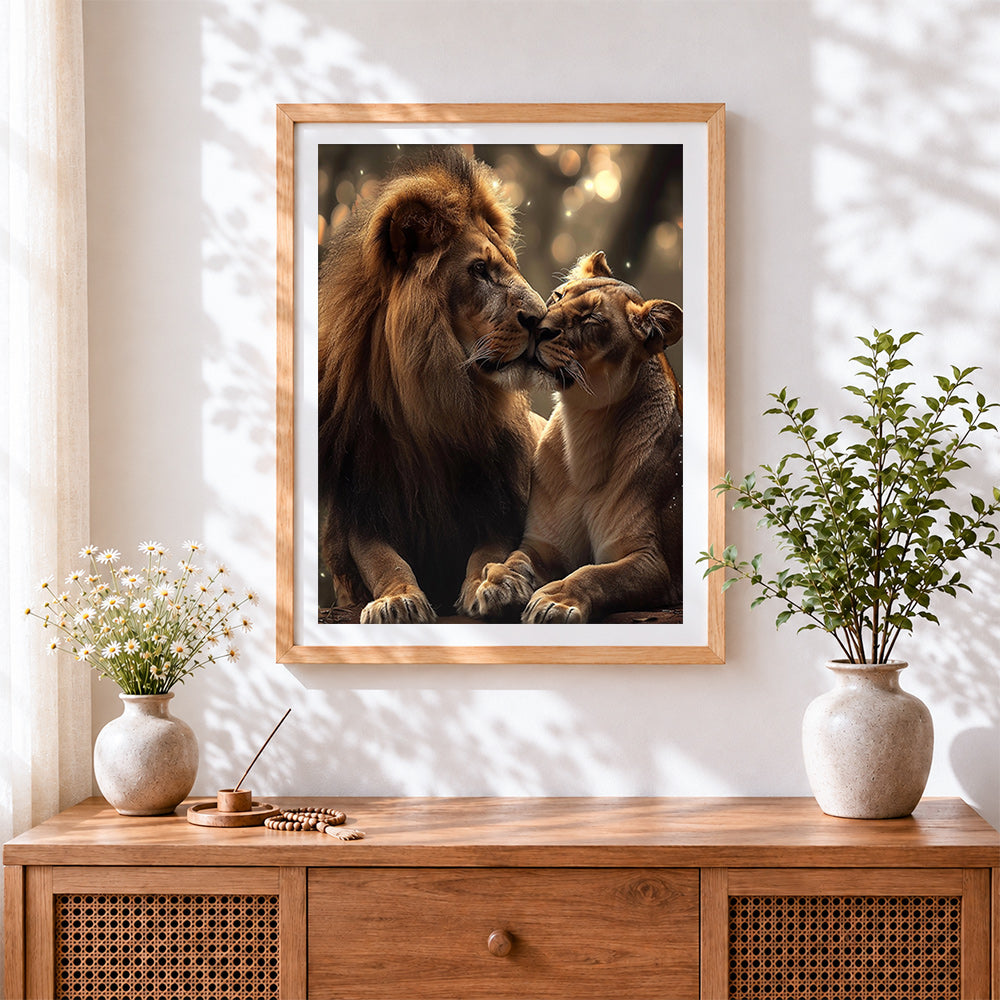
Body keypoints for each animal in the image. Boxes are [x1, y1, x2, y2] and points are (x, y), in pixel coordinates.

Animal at [318, 147, 546, 624]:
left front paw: (495, 585)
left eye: (510, 266)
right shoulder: (359, 510)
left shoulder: (499, 504)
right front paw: (396, 599)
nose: (542, 318)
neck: (430, 406)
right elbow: (383, 560)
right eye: (479, 269)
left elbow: (487, 551)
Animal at [466, 251, 683, 623]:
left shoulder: (652, 561)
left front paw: (555, 600)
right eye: (557, 297)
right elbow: (517, 557)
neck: (583, 427)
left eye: (592, 318)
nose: (538, 328)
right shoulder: (544, 544)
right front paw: (499, 581)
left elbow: (597, 574)